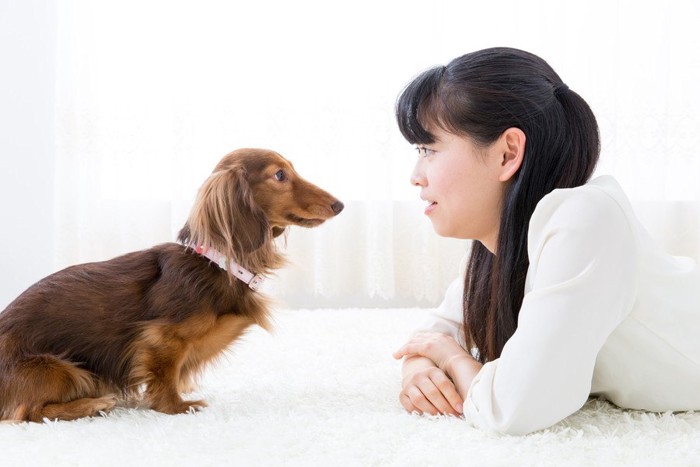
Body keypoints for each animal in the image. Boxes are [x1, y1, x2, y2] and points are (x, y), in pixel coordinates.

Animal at [0, 149, 344, 424]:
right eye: (280, 175)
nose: (339, 205)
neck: (217, 264)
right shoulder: (161, 338)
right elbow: (165, 376)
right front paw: (178, 406)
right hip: (60, 369)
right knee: (27, 412)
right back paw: (94, 404)